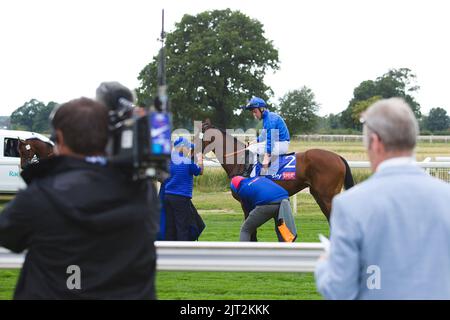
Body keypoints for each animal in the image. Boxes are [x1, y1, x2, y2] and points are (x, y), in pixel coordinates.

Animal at [195, 121, 354, 239]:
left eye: (199, 137)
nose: (192, 152)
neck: (240, 161)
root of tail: (338, 157)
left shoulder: (246, 203)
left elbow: (251, 230)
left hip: (326, 197)